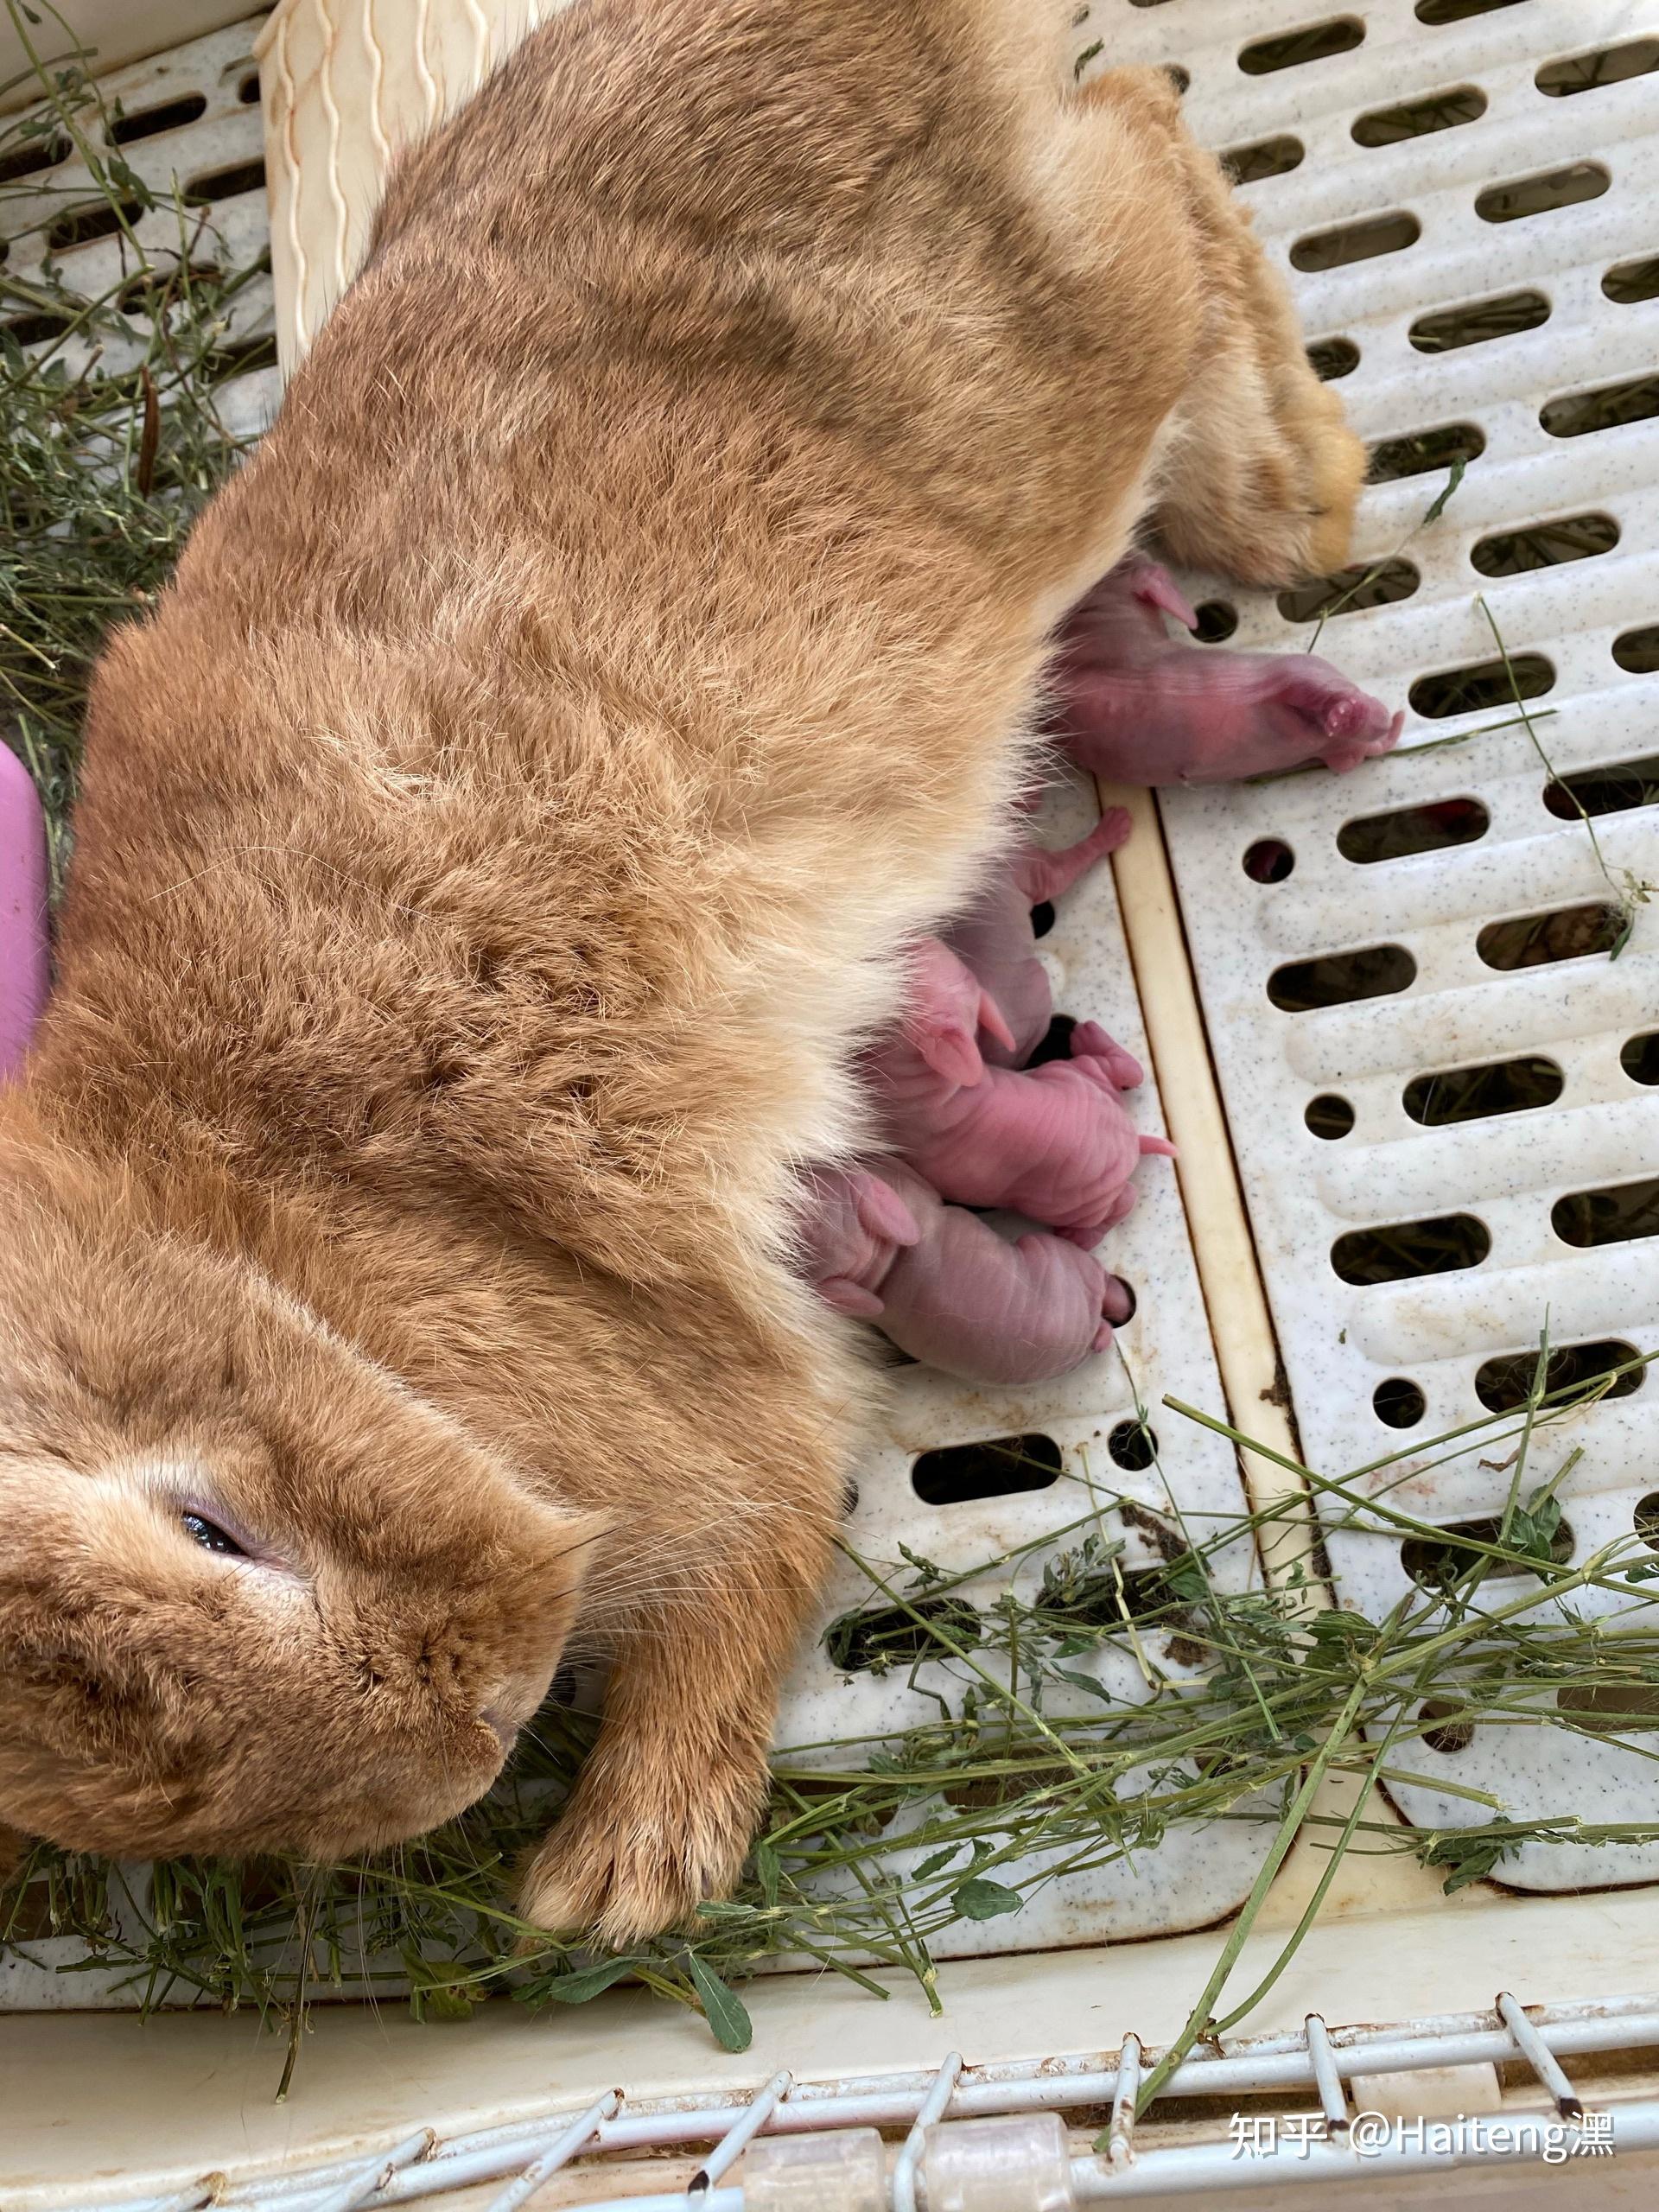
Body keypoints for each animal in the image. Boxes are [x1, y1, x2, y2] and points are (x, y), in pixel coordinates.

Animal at [0, 0, 1371, 1937]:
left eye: (209, 1524)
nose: (473, 1740)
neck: (261, 1257)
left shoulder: (721, 1427)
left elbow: (755, 1556)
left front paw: (617, 1883)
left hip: (1061, 373)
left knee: (1148, 135)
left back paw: (1301, 501)